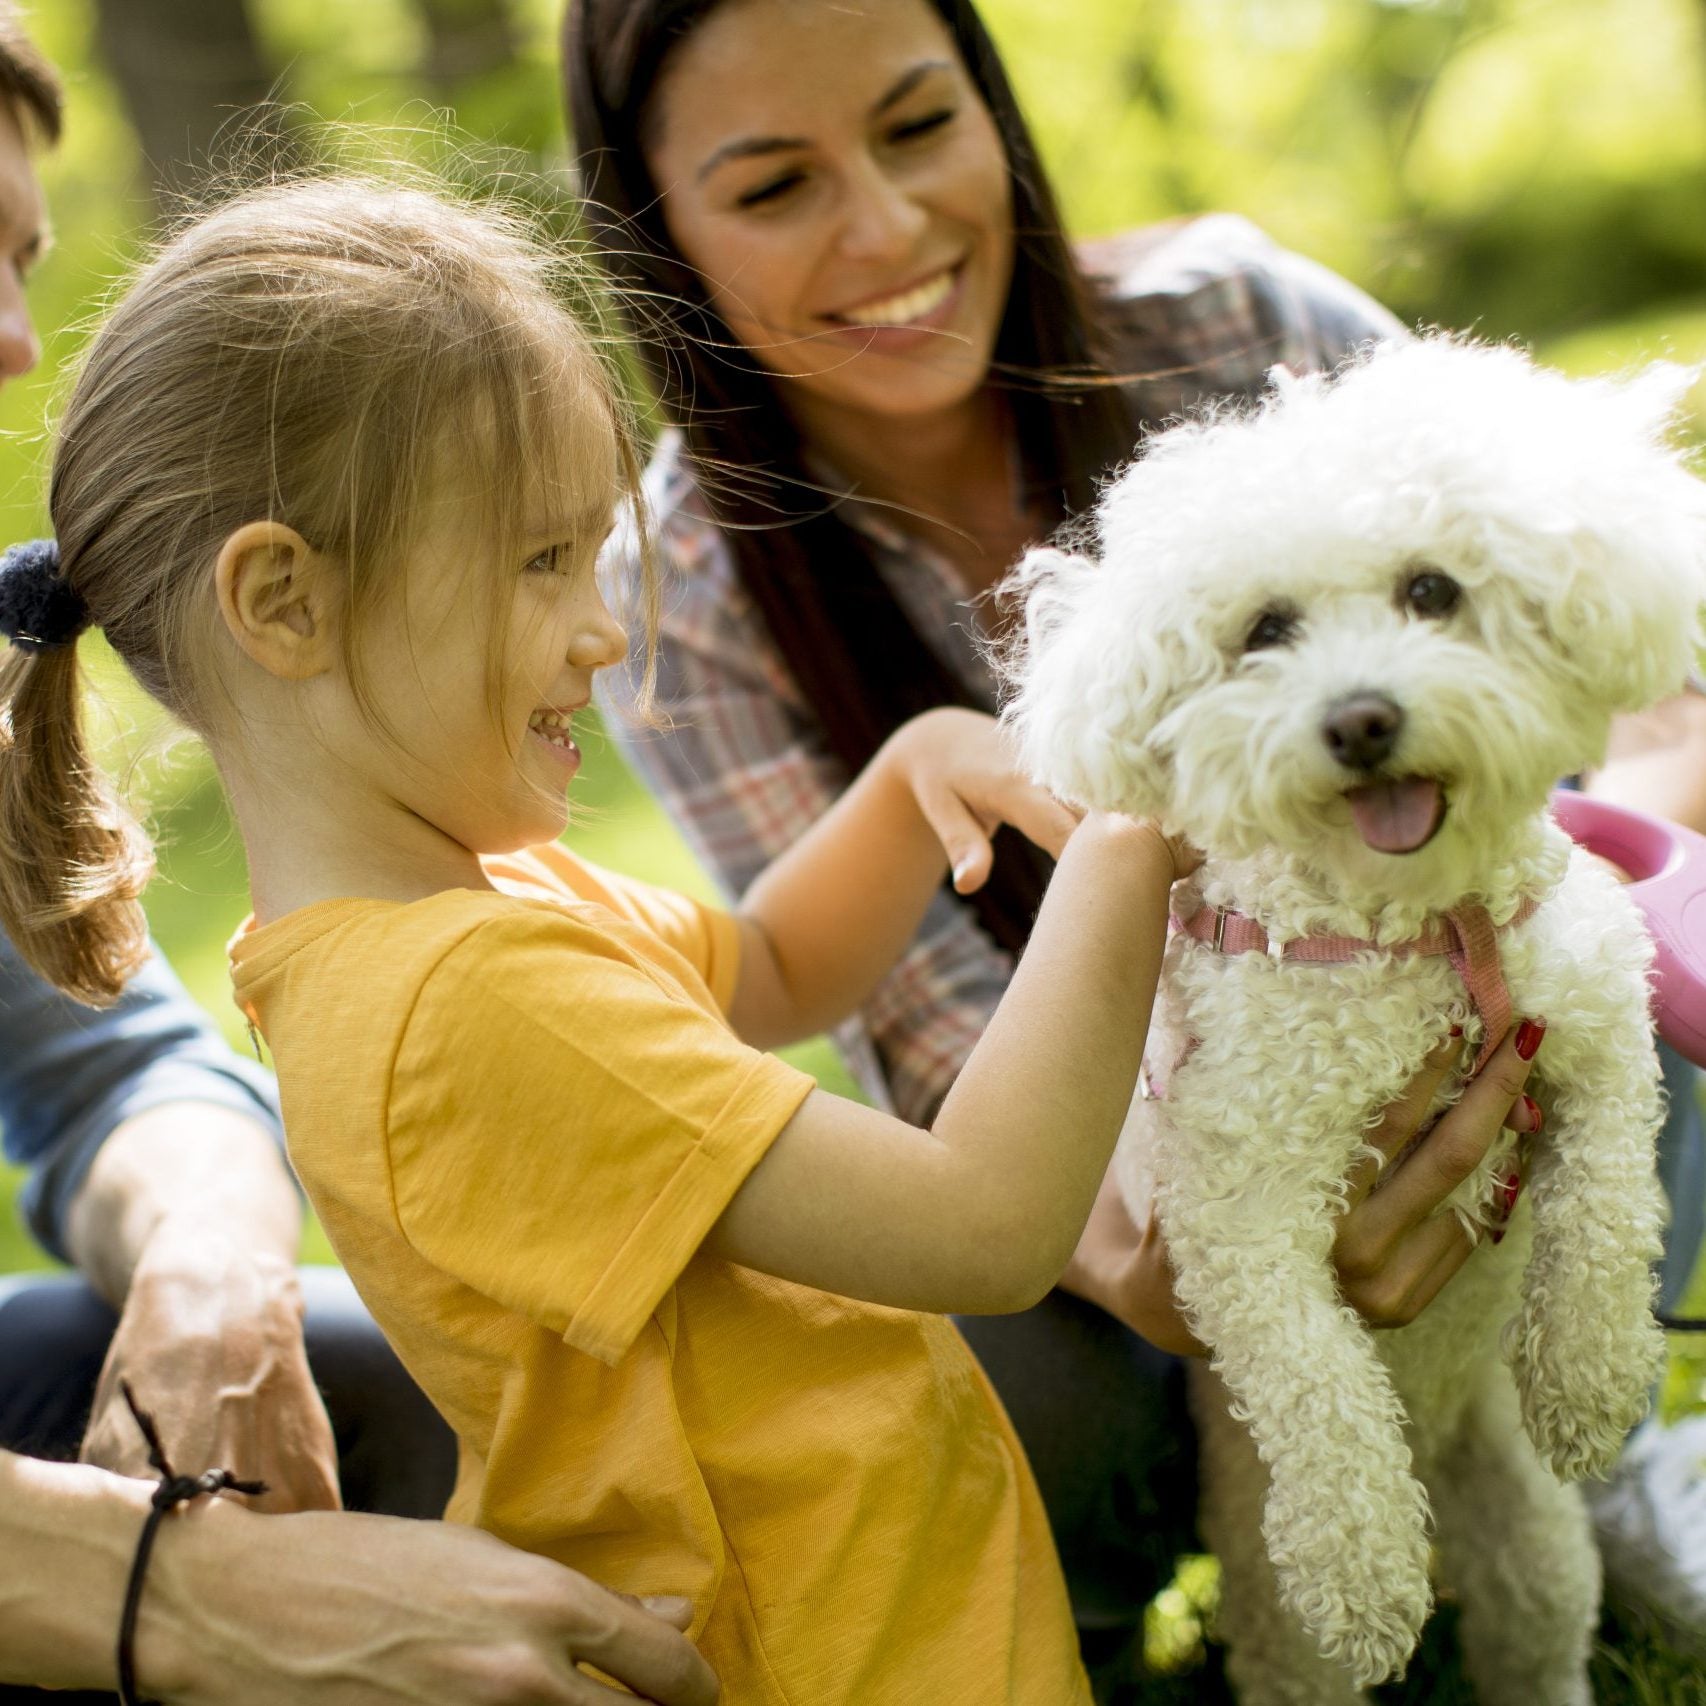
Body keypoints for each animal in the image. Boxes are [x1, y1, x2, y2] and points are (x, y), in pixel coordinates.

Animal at [996, 336, 1706, 1706]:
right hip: (1272, 1613)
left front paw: (1585, 1374)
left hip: (1533, 1546)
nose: (1360, 717)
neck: (1420, 933)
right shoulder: (1234, 1204)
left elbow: (1601, 1202)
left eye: (1431, 589)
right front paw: (1358, 1558)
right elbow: (1309, 1375)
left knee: (1534, 1636)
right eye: (1264, 629)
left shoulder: (1596, 1025)